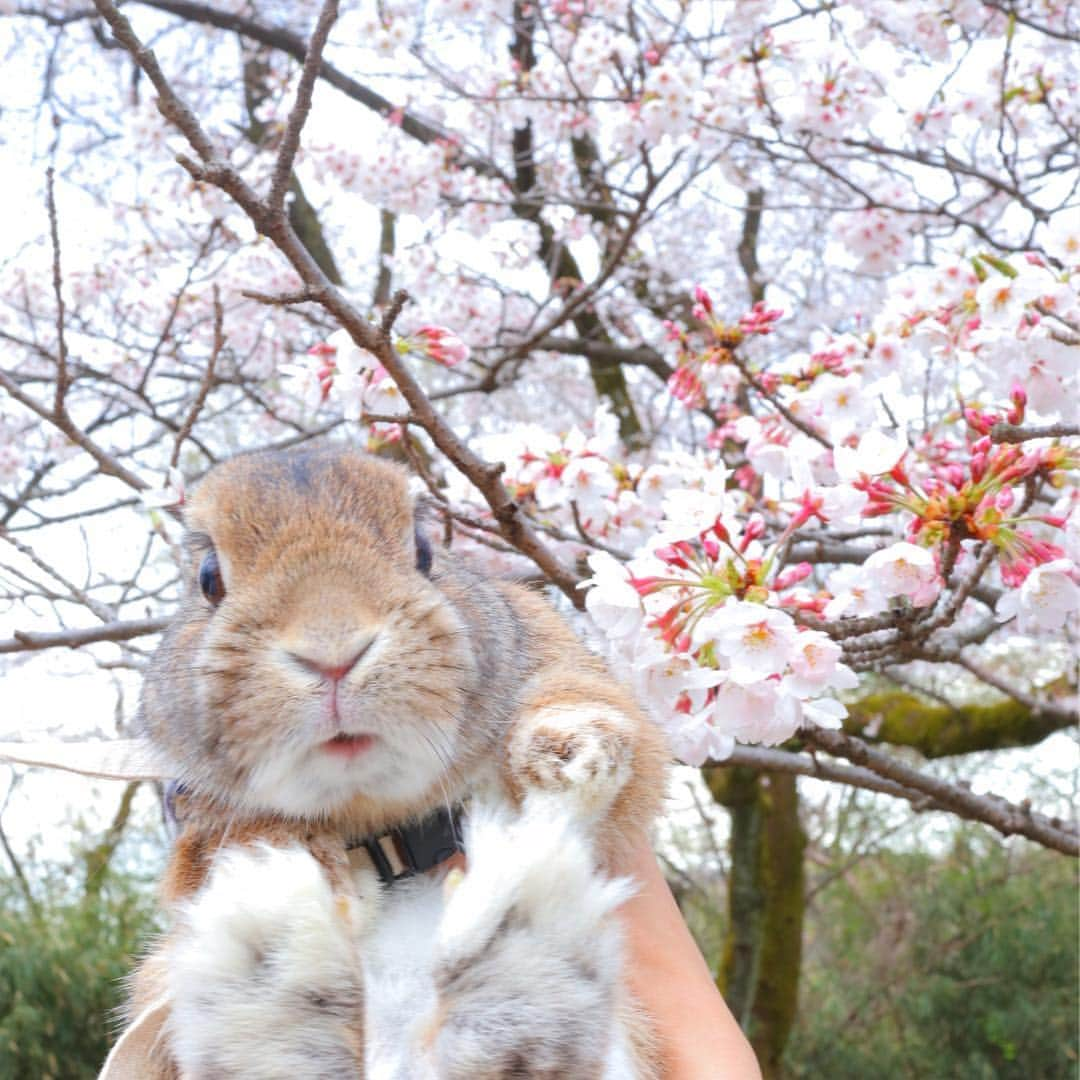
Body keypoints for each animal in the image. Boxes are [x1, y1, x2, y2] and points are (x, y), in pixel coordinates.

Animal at [122, 440, 669, 1080]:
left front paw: (572, 747)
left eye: (425, 550)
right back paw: (272, 935)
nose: (332, 651)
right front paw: (296, 863)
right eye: (209, 580)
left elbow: (603, 729)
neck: (383, 830)